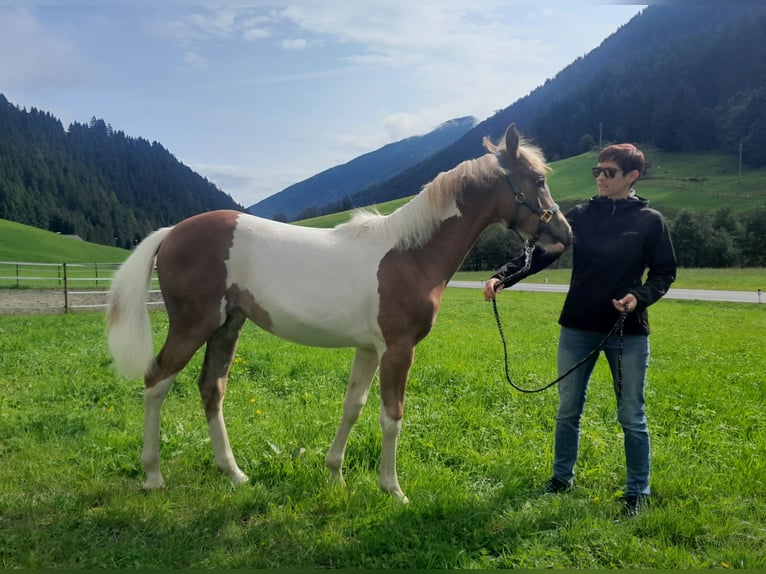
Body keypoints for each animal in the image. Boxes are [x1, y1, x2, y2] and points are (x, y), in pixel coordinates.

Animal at [106, 123, 572, 502]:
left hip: (227, 326)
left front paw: (334, 474)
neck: (410, 253)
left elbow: (354, 405)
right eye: (538, 180)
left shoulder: (368, 349)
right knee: (156, 381)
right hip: (192, 326)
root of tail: (171, 232)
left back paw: (234, 474)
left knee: (211, 388)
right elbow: (391, 415)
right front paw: (393, 489)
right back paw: (153, 475)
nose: (564, 234)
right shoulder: (398, 349)